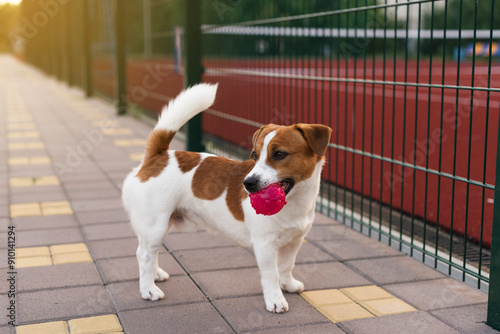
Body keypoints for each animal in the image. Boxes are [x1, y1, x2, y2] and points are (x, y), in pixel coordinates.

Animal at [121, 83, 332, 314]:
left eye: (279, 154)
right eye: (254, 155)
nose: (248, 183)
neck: (295, 201)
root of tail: (158, 157)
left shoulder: (294, 241)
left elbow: (286, 267)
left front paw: (288, 284)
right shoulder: (265, 245)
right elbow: (271, 275)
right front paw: (275, 299)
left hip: (161, 225)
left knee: (150, 251)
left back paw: (156, 274)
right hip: (155, 225)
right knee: (143, 254)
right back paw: (148, 290)